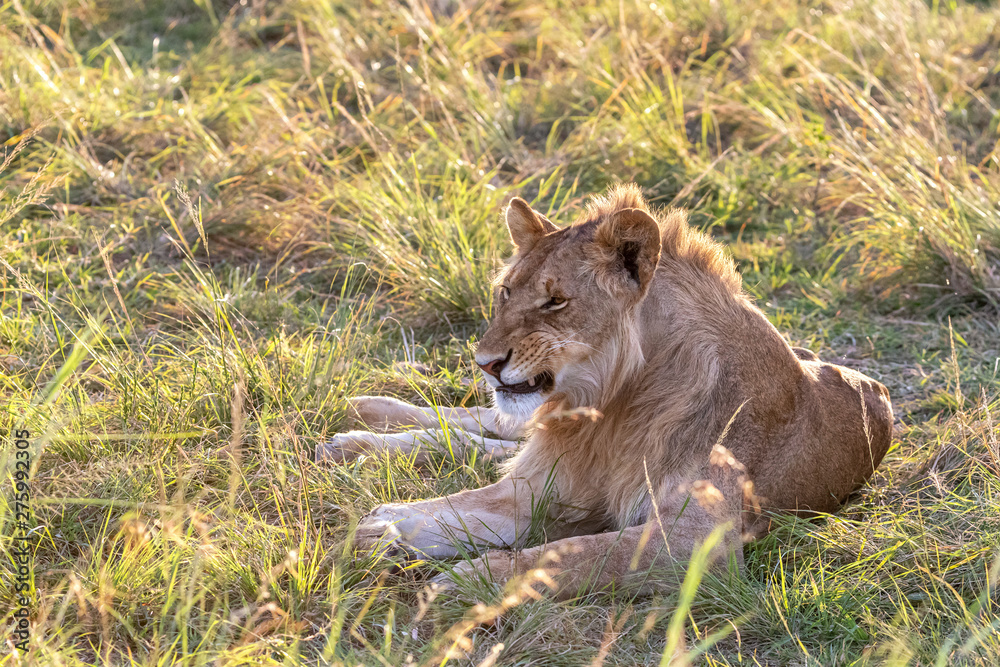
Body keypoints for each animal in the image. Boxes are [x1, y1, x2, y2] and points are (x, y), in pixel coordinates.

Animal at [318, 184, 893, 598]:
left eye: (555, 301)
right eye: (506, 292)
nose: (485, 364)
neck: (610, 406)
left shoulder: (694, 544)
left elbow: (567, 555)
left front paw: (462, 580)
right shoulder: (546, 483)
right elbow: (459, 504)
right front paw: (379, 530)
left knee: (486, 444)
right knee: (482, 430)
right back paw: (360, 423)